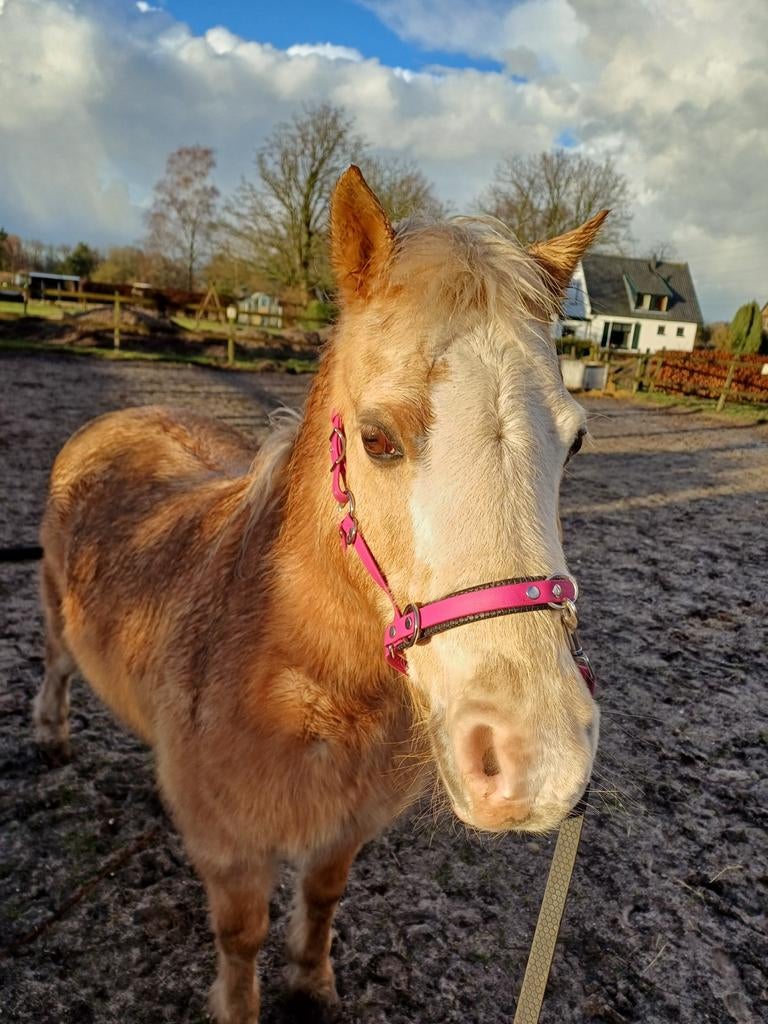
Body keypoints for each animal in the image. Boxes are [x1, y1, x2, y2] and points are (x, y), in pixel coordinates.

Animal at [33, 165, 604, 1023]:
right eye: (376, 438)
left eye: (574, 441)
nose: (537, 760)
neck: (298, 681)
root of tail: (119, 421)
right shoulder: (233, 852)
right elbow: (241, 938)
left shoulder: (344, 829)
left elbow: (324, 898)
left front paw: (314, 983)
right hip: (55, 617)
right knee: (57, 668)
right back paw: (51, 735)